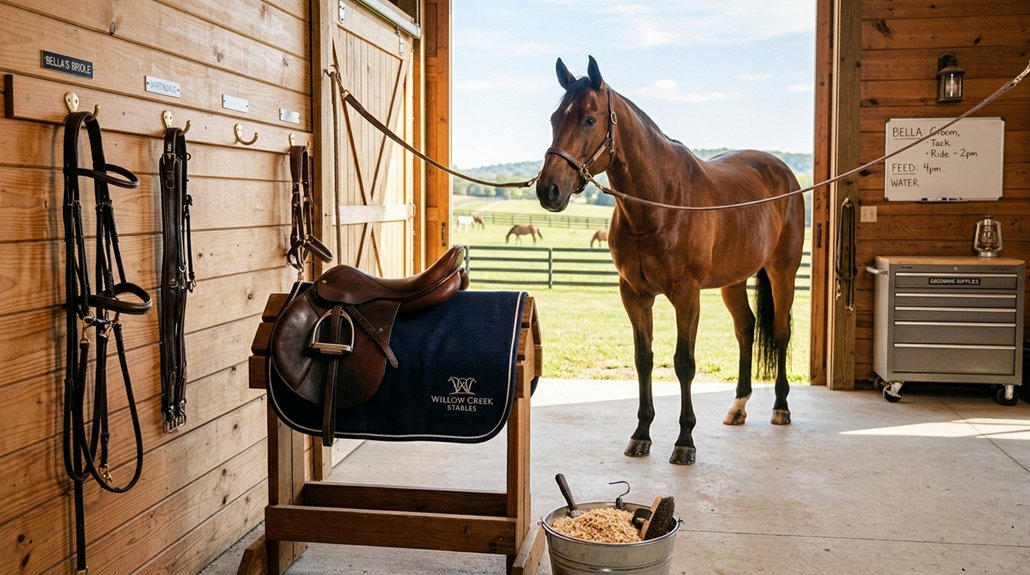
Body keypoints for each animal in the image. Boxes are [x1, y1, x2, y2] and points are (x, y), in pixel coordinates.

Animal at [537, 56, 804, 465]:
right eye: (554, 118)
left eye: (589, 120)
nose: (548, 189)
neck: (660, 203)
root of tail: (782, 172)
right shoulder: (634, 294)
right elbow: (644, 358)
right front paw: (641, 435)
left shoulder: (686, 295)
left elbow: (684, 363)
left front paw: (685, 441)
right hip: (733, 280)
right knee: (745, 328)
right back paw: (738, 406)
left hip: (782, 272)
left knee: (780, 330)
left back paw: (781, 407)